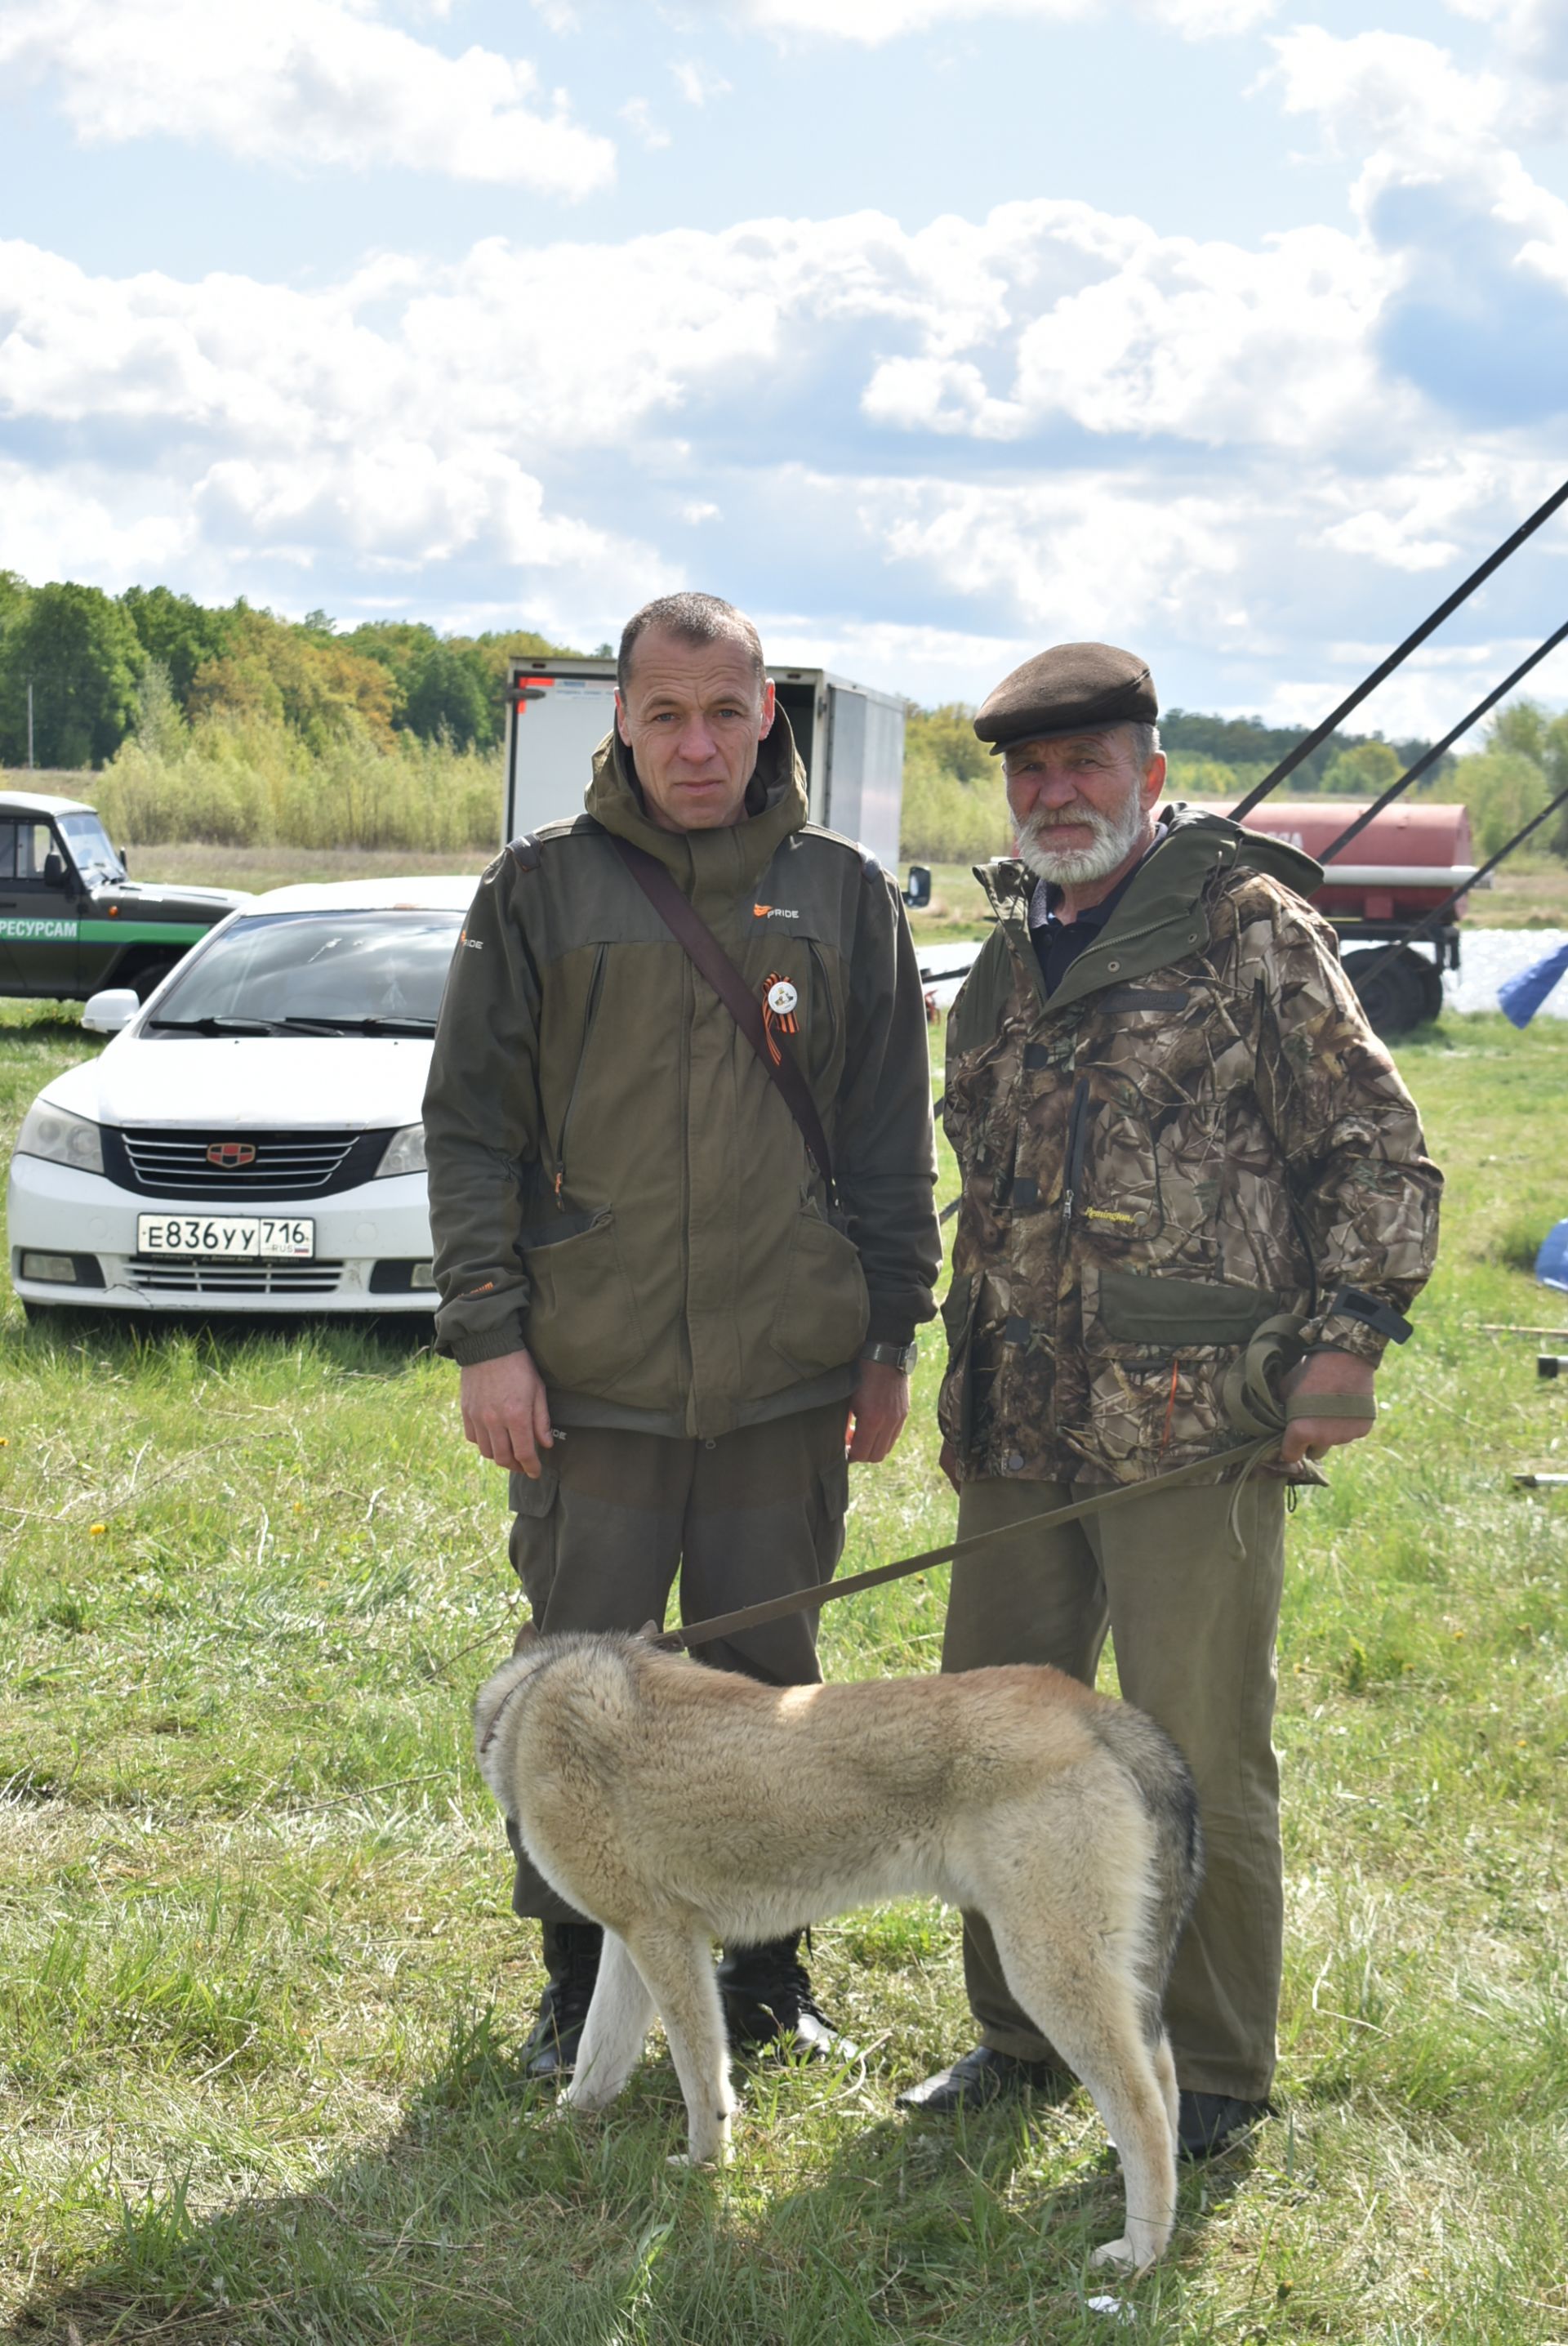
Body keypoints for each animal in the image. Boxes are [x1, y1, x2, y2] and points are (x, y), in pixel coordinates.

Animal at [473, 1632, 1200, 2271]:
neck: (529, 1705)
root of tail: (1090, 1708)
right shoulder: (634, 1941)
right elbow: (601, 2054)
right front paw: (567, 2124)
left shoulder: (665, 1942)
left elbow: (700, 2077)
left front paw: (705, 2163)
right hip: (1106, 1968)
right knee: (1163, 2077)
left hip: (1049, 1969)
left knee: (1140, 2110)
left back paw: (1140, 2250)